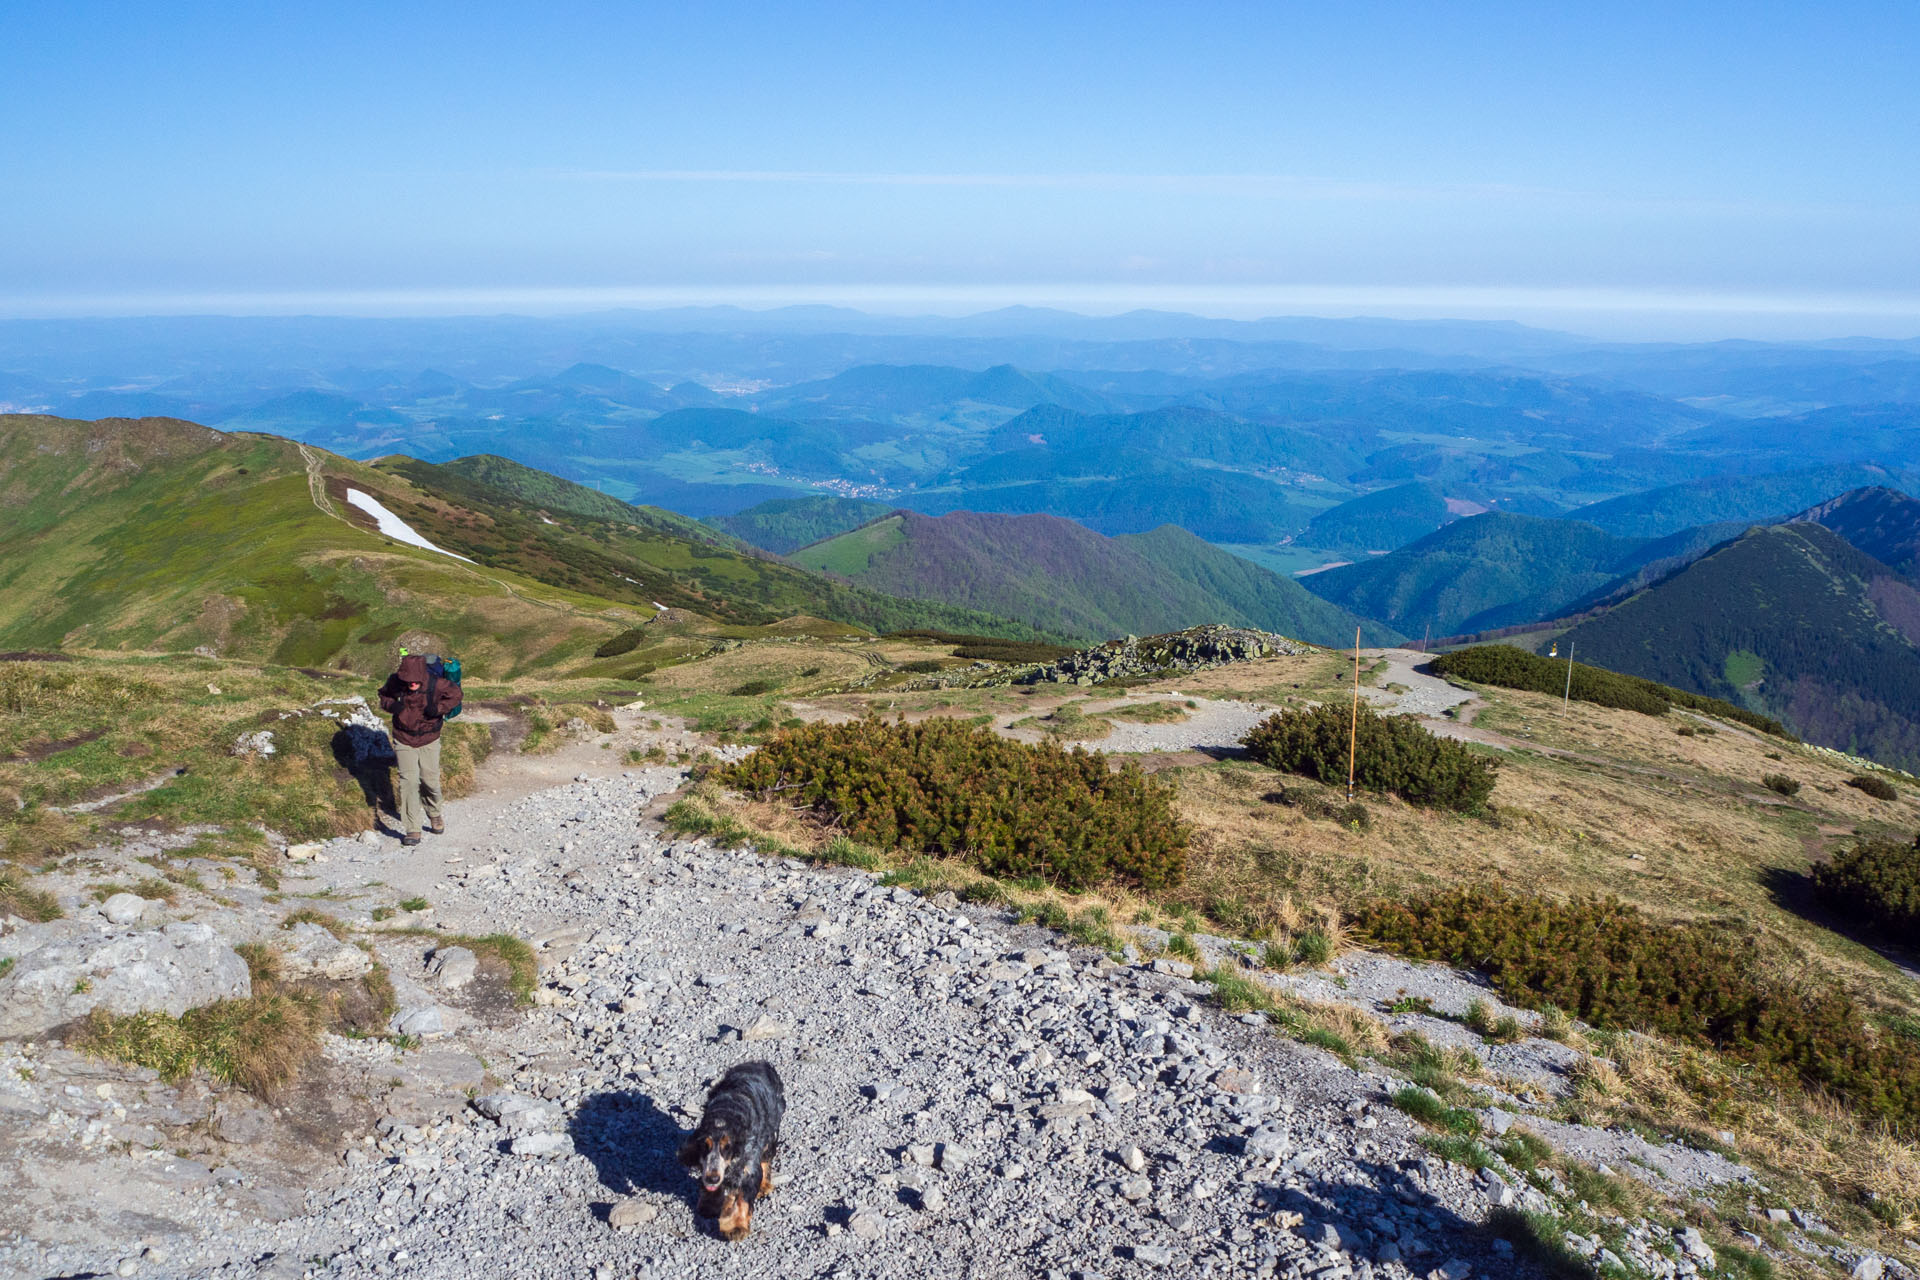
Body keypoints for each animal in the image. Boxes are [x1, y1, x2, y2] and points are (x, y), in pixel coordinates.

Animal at [679, 1059, 783, 1243]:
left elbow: (742, 1199)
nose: (712, 1179)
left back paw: (764, 1185)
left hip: (771, 1133)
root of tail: (758, 1063)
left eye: (727, 1147)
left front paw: (736, 1227)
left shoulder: (748, 1166)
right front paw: (709, 1205)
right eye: (704, 1146)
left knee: (766, 1159)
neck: (725, 1115)